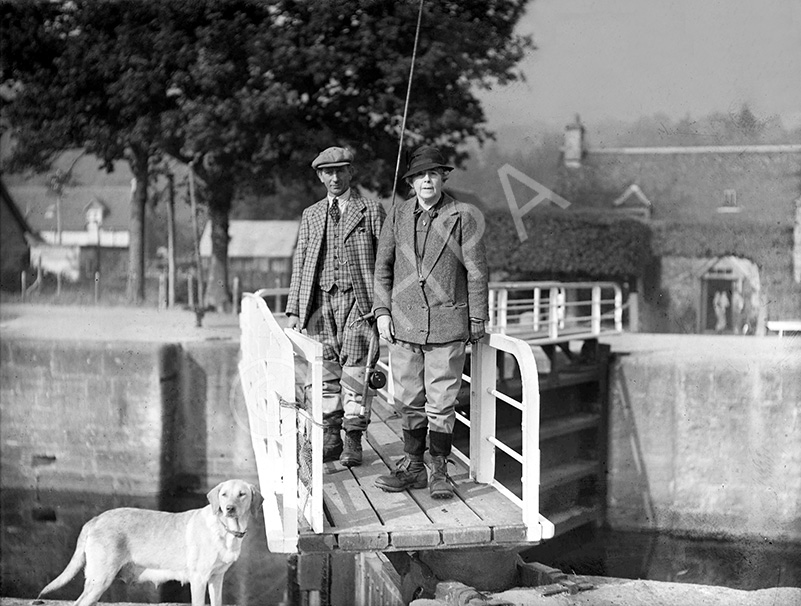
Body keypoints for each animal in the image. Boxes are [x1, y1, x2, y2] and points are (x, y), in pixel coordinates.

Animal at [37, 480, 262, 606]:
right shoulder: (198, 579)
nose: (229, 508)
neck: (226, 529)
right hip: (99, 579)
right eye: (224, 494)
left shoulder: (216, 578)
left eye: (242, 494)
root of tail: (95, 519)